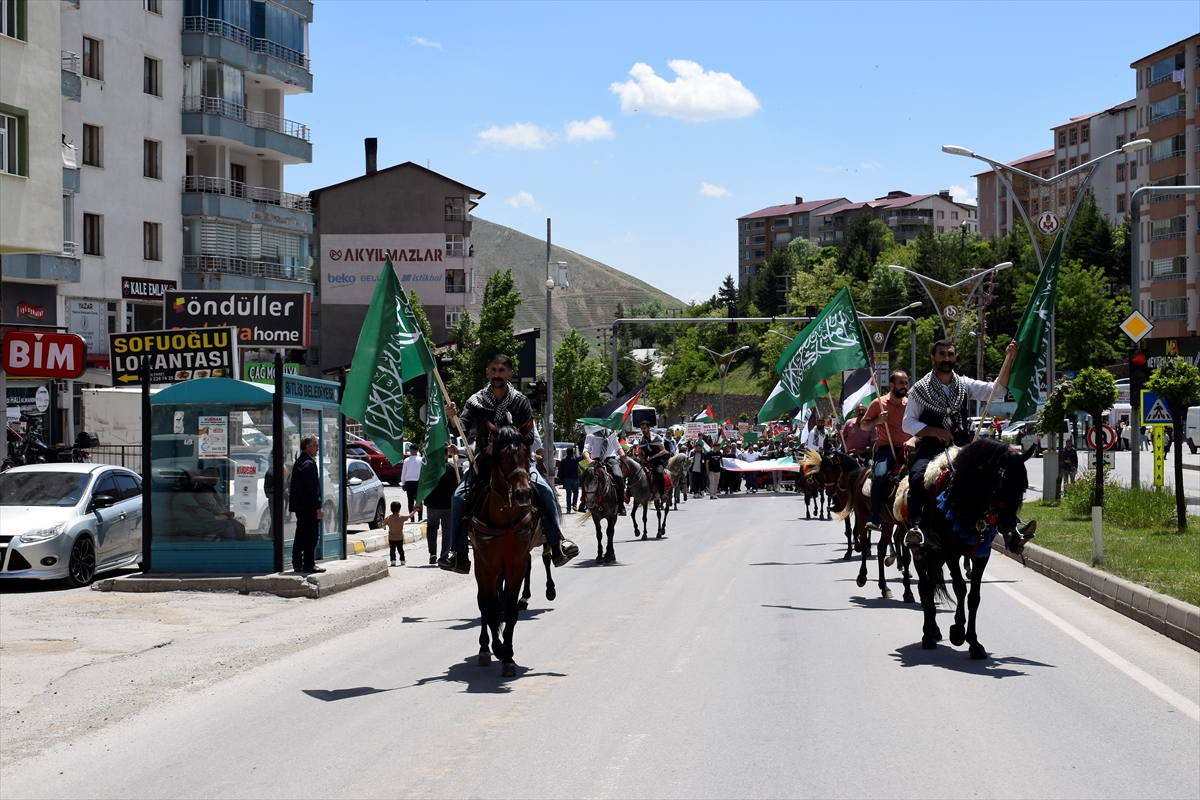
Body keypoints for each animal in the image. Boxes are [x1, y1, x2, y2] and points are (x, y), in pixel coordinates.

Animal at [468, 422, 544, 681]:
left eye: (526, 451)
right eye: (501, 455)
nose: (523, 494)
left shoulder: (518, 564)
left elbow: (509, 611)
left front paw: (508, 658)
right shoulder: (487, 568)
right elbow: (490, 608)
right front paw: (497, 648)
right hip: (480, 567)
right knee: (484, 604)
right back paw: (484, 648)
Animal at [902, 441, 1036, 662]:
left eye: (1023, 486)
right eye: (1001, 485)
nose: (1008, 524)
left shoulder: (981, 554)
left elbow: (974, 596)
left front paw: (974, 643)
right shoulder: (952, 552)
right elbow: (960, 588)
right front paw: (957, 631)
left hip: (938, 553)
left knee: (931, 581)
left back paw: (934, 630)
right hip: (922, 550)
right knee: (923, 585)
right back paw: (928, 634)